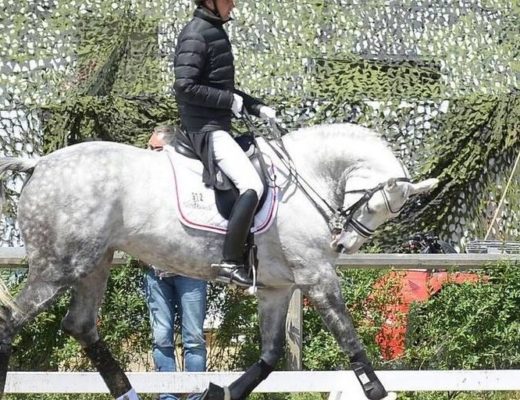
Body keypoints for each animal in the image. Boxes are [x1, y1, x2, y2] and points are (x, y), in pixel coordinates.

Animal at [0, 123, 438, 398]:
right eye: (374, 205)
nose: (343, 244)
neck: (302, 178)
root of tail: (39, 163)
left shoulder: (277, 288)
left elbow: (270, 354)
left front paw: (220, 391)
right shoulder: (317, 275)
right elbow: (348, 336)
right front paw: (378, 391)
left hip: (94, 263)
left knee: (80, 325)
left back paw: (129, 392)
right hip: (59, 267)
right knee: (11, 322)